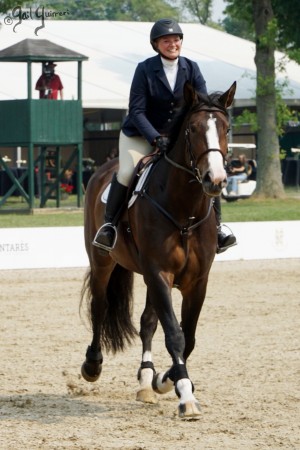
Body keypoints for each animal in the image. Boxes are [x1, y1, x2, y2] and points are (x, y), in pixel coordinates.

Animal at [79, 81, 237, 418]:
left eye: (227, 128)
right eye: (192, 128)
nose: (215, 180)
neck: (184, 211)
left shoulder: (196, 282)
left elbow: (187, 337)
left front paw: (166, 379)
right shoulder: (159, 273)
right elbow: (175, 334)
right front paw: (185, 395)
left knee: (147, 322)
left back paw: (146, 379)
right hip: (103, 262)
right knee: (100, 307)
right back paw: (92, 365)